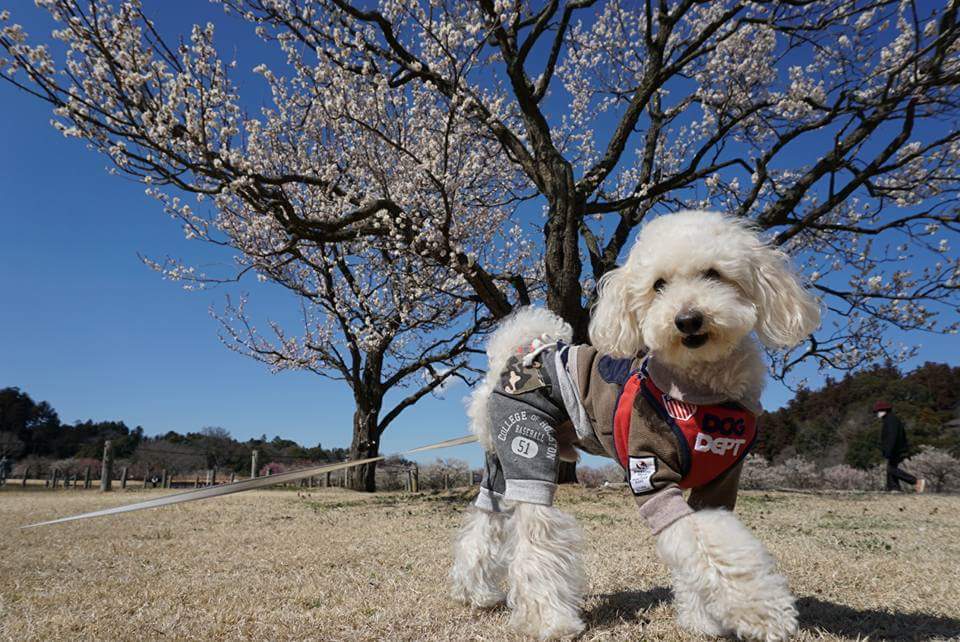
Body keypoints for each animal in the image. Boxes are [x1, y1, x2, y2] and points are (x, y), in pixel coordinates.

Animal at [450, 209, 816, 636]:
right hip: (527, 440)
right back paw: (552, 621)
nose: (687, 320)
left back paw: (475, 593)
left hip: (498, 466)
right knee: (536, 537)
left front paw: (702, 620)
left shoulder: (721, 481)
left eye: (713, 274)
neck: (697, 391)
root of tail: (515, 356)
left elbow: (704, 538)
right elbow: (706, 542)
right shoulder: (651, 473)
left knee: (483, 525)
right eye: (659, 285)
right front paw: (764, 612)